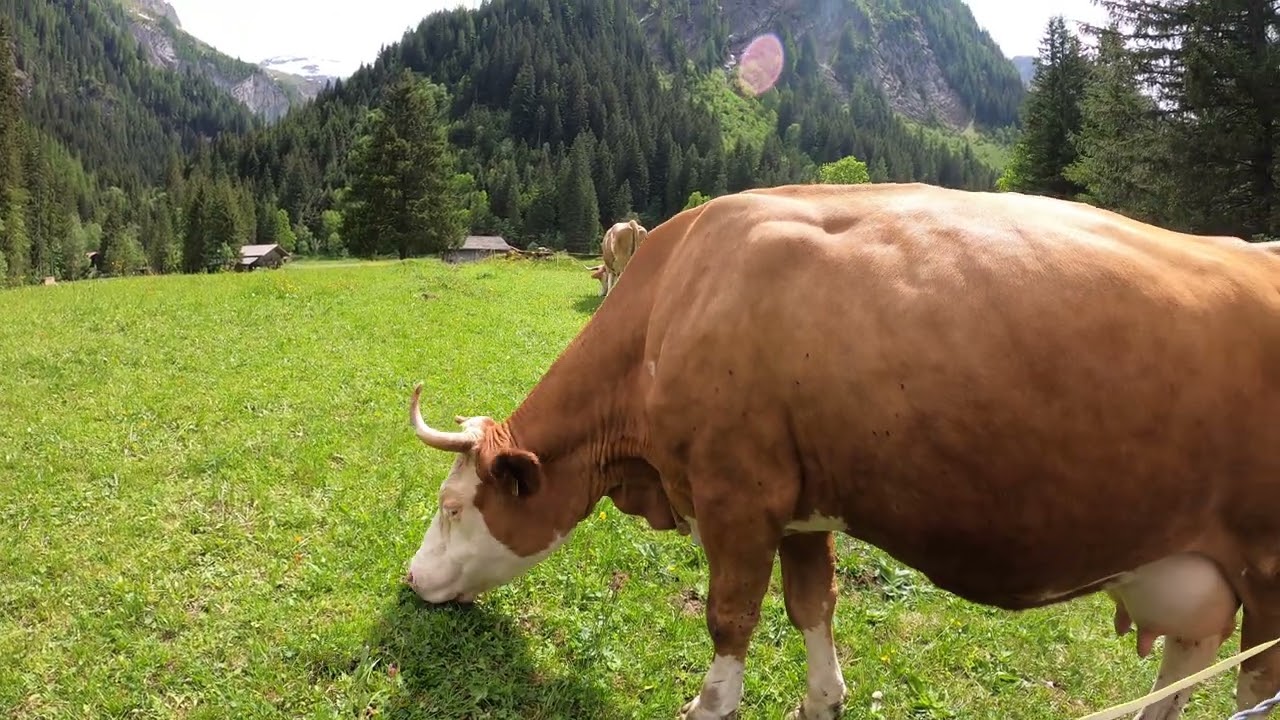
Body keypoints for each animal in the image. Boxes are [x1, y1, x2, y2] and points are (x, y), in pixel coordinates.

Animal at [402, 182, 1280, 720]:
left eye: (453, 507)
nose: (410, 578)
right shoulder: (801, 506)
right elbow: (812, 604)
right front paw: (822, 698)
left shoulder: (736, 495)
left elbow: (731, 616)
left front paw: (710, 703)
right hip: (1198, 577)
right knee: (1183, 671)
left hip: (1268, 571)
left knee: (1253, 686)